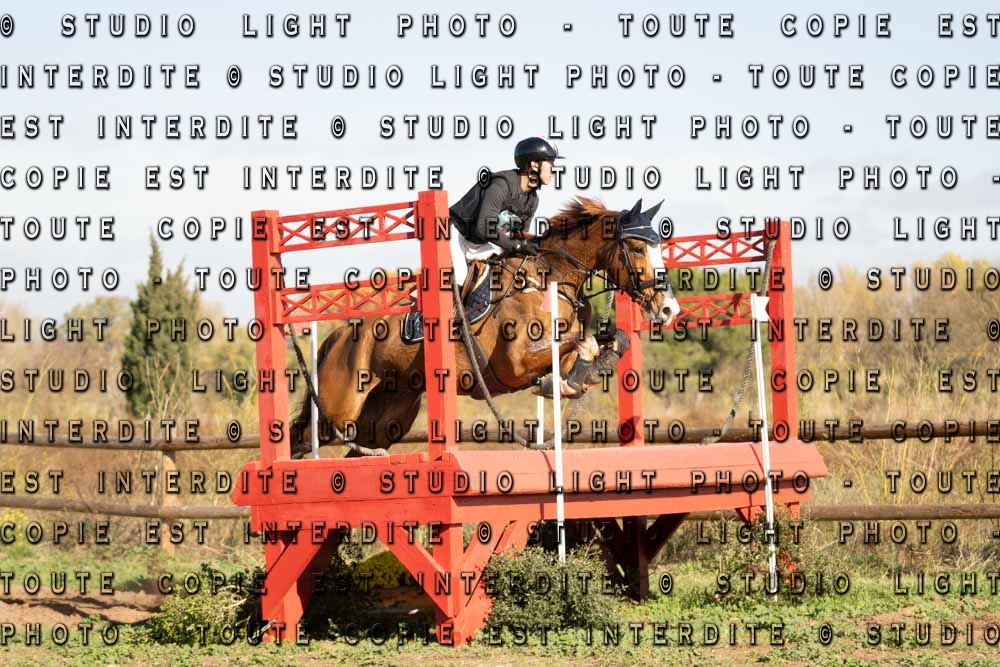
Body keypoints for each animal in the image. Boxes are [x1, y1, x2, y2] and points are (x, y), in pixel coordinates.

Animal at [289, 196, 680, 458]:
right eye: (636, 248)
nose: (669, 309)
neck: (550, 279)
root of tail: (340, 335)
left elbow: (610, 339)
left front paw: (576, 379)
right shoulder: (515, 364)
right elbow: (583, 342)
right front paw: (567, 379)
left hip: (388, 417)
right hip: (340, 409)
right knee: (303, 437)